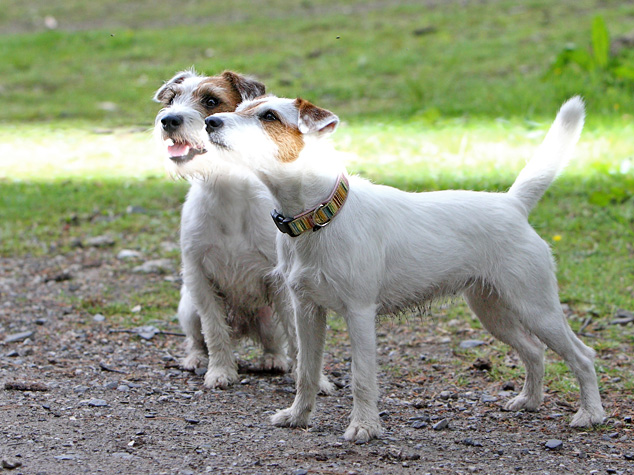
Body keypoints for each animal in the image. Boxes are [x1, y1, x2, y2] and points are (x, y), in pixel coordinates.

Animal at [152, 69, 334, 390]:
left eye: (211, 101)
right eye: (172, 99)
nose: (168, 120)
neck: (226, 191)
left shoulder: (281, 281)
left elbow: (296, 334)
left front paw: (313, 380)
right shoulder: (199, 278)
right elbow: (214, 331)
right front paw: (220, 371)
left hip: (267, 313)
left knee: (274, 339)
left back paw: (273, 359)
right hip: (188, 307)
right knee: (198, 338)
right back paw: (195, 358)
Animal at [201, 96, 604, 442]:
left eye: (268, 116)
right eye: (240, 108)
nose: (210, 122)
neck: (320, 217)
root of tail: (512, 205)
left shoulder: (359, 313)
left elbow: (362, 377)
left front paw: (364, 427)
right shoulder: (307, 311)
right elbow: (306, 371)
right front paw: (298, 416)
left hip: (536, 307)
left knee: (582, 355)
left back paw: (591, 414)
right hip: (492, 310)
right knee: (534, 351)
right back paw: (530, 401)